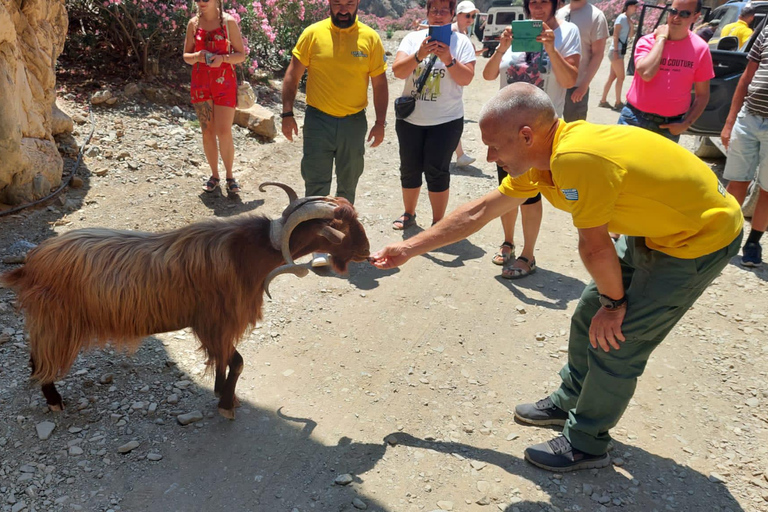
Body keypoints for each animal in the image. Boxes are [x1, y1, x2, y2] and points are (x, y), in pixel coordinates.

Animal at [0, 184, 372, 420]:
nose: (367, 251)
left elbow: (224, 361)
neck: (247, 254)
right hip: (57, 320)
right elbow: (237, 362)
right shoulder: (215, 322)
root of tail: (30, 264)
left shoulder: (218, 327)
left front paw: (222, 392)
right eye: (339, 225)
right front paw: (226, 405)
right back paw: (54, 401)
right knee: (41, 360)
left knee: (35, 358)